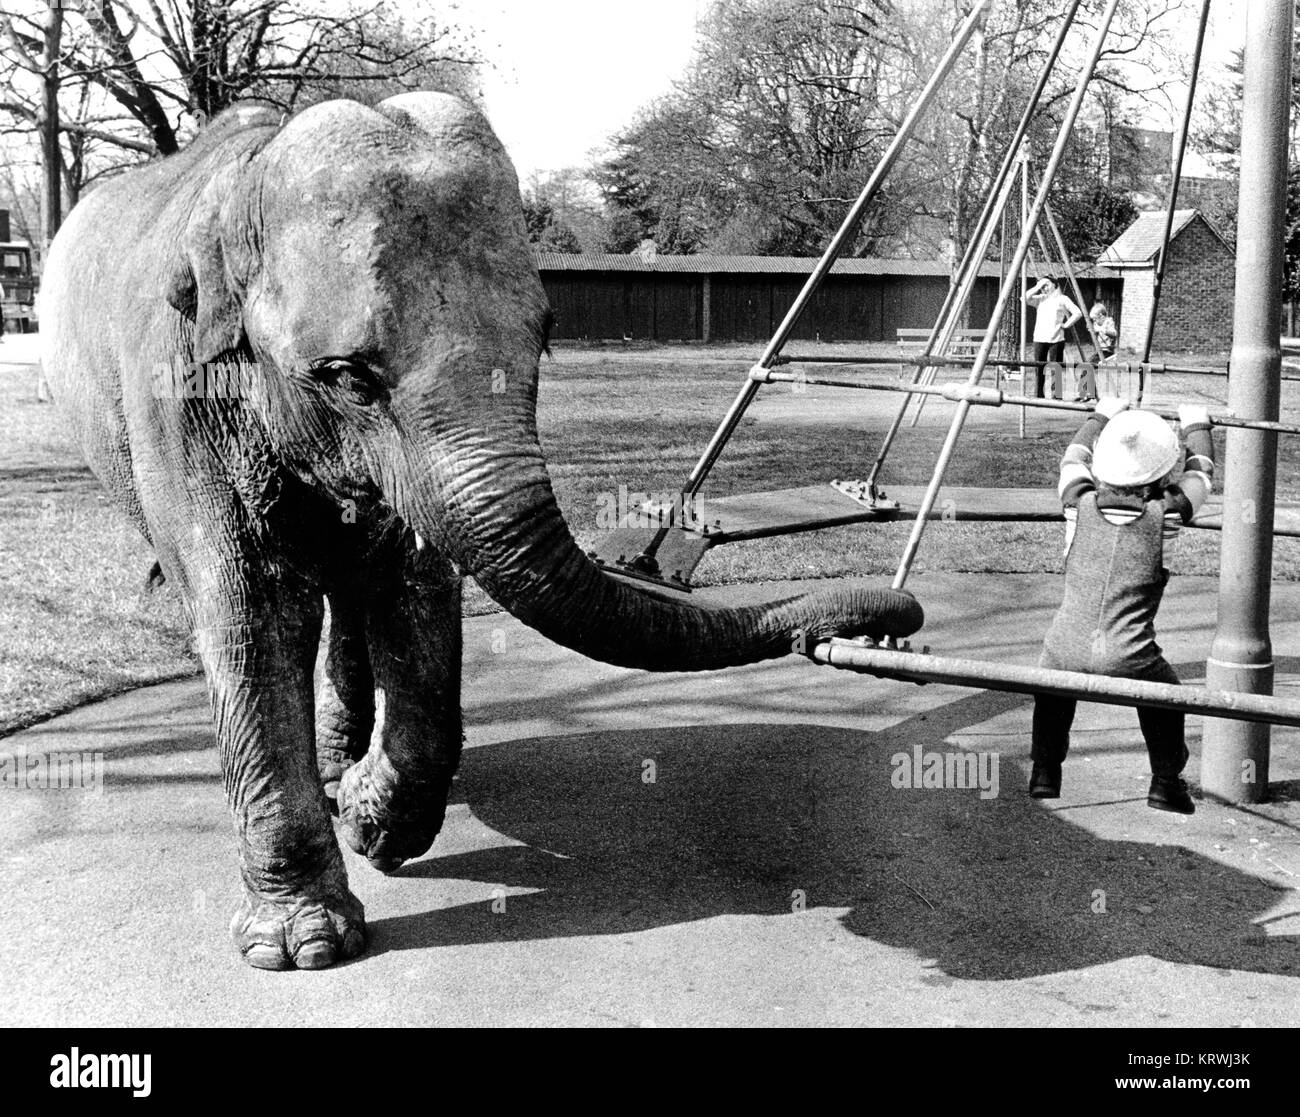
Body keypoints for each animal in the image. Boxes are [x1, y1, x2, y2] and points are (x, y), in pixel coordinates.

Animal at [43, 93, 925, 967]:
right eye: (349, 377)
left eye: (545, 335)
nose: (901, 614)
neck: (248, 180)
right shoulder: (177, 399)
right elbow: (250, 615)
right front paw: (304, 945)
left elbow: (417, 588)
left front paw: (372, 823)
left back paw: (342, 764)